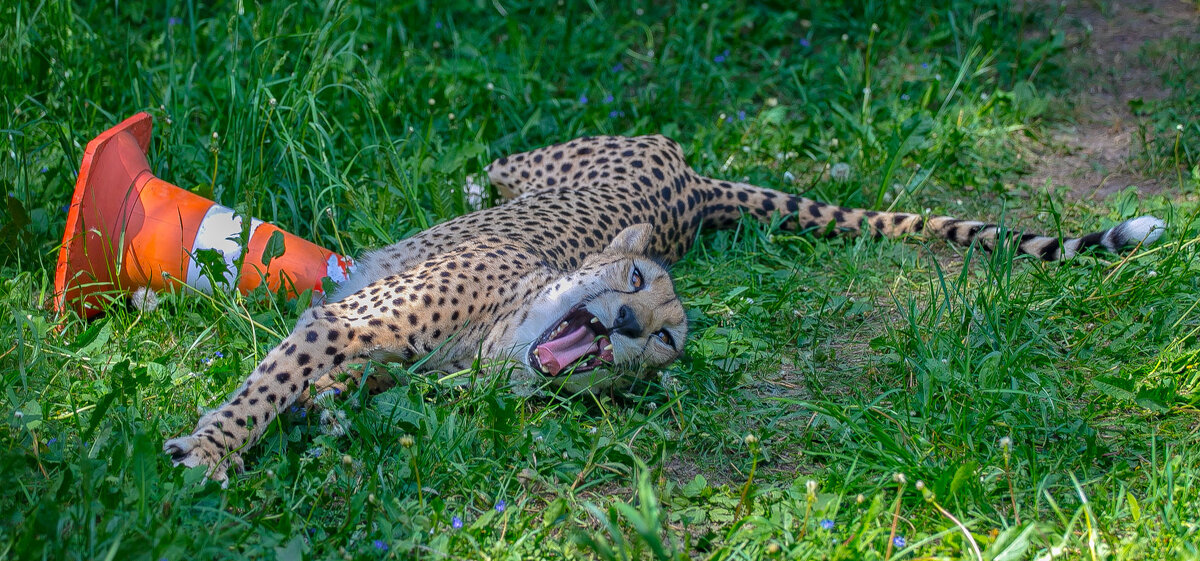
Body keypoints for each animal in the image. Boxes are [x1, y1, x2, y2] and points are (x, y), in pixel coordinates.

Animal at [164, 133, 1166, 479]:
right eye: (641, 288)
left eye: (668, 345)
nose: (625, 327)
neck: (499, 335)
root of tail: (696, 183)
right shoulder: (341, 323)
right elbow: (269, 387)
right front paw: (210, 453)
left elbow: (323, 392)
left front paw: (299, 423)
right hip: (549, 158)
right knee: (498, 164)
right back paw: (467, 178)